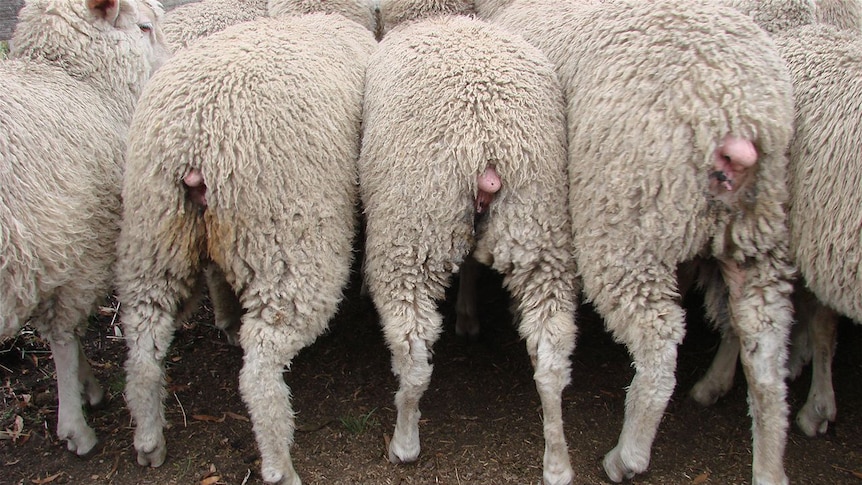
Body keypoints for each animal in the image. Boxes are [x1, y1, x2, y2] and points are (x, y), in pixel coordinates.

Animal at [0, 0, 170, 458]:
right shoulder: (81, 246)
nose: (171, 65)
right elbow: (62, 334)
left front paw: (85, 387)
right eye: (144, 27)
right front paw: (75, 425)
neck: (76, 81)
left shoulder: (51, 253)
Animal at [114, 5, 374, 482]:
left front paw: (226, 318)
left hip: (153, 232)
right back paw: (279, 464)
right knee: (261, 367)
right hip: (289, 240)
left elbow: (217, 274)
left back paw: (149, 438)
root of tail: (194, 140)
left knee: (143, 338)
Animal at [362, 2, 576, 480]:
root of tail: (487, 141)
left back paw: (404, 441)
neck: (434, 17)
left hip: (412, 227)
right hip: (539, 224)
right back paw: (556, 461)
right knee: (552, 349)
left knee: (413, 349)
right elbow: (474, 265)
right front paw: (468, 316)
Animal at [476, 1, 800, 482]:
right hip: (757, 235)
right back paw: (768, 464)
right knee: (764, 349)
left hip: (627, 226)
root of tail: (731, 110)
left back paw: (627, 456)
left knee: (658, 346)